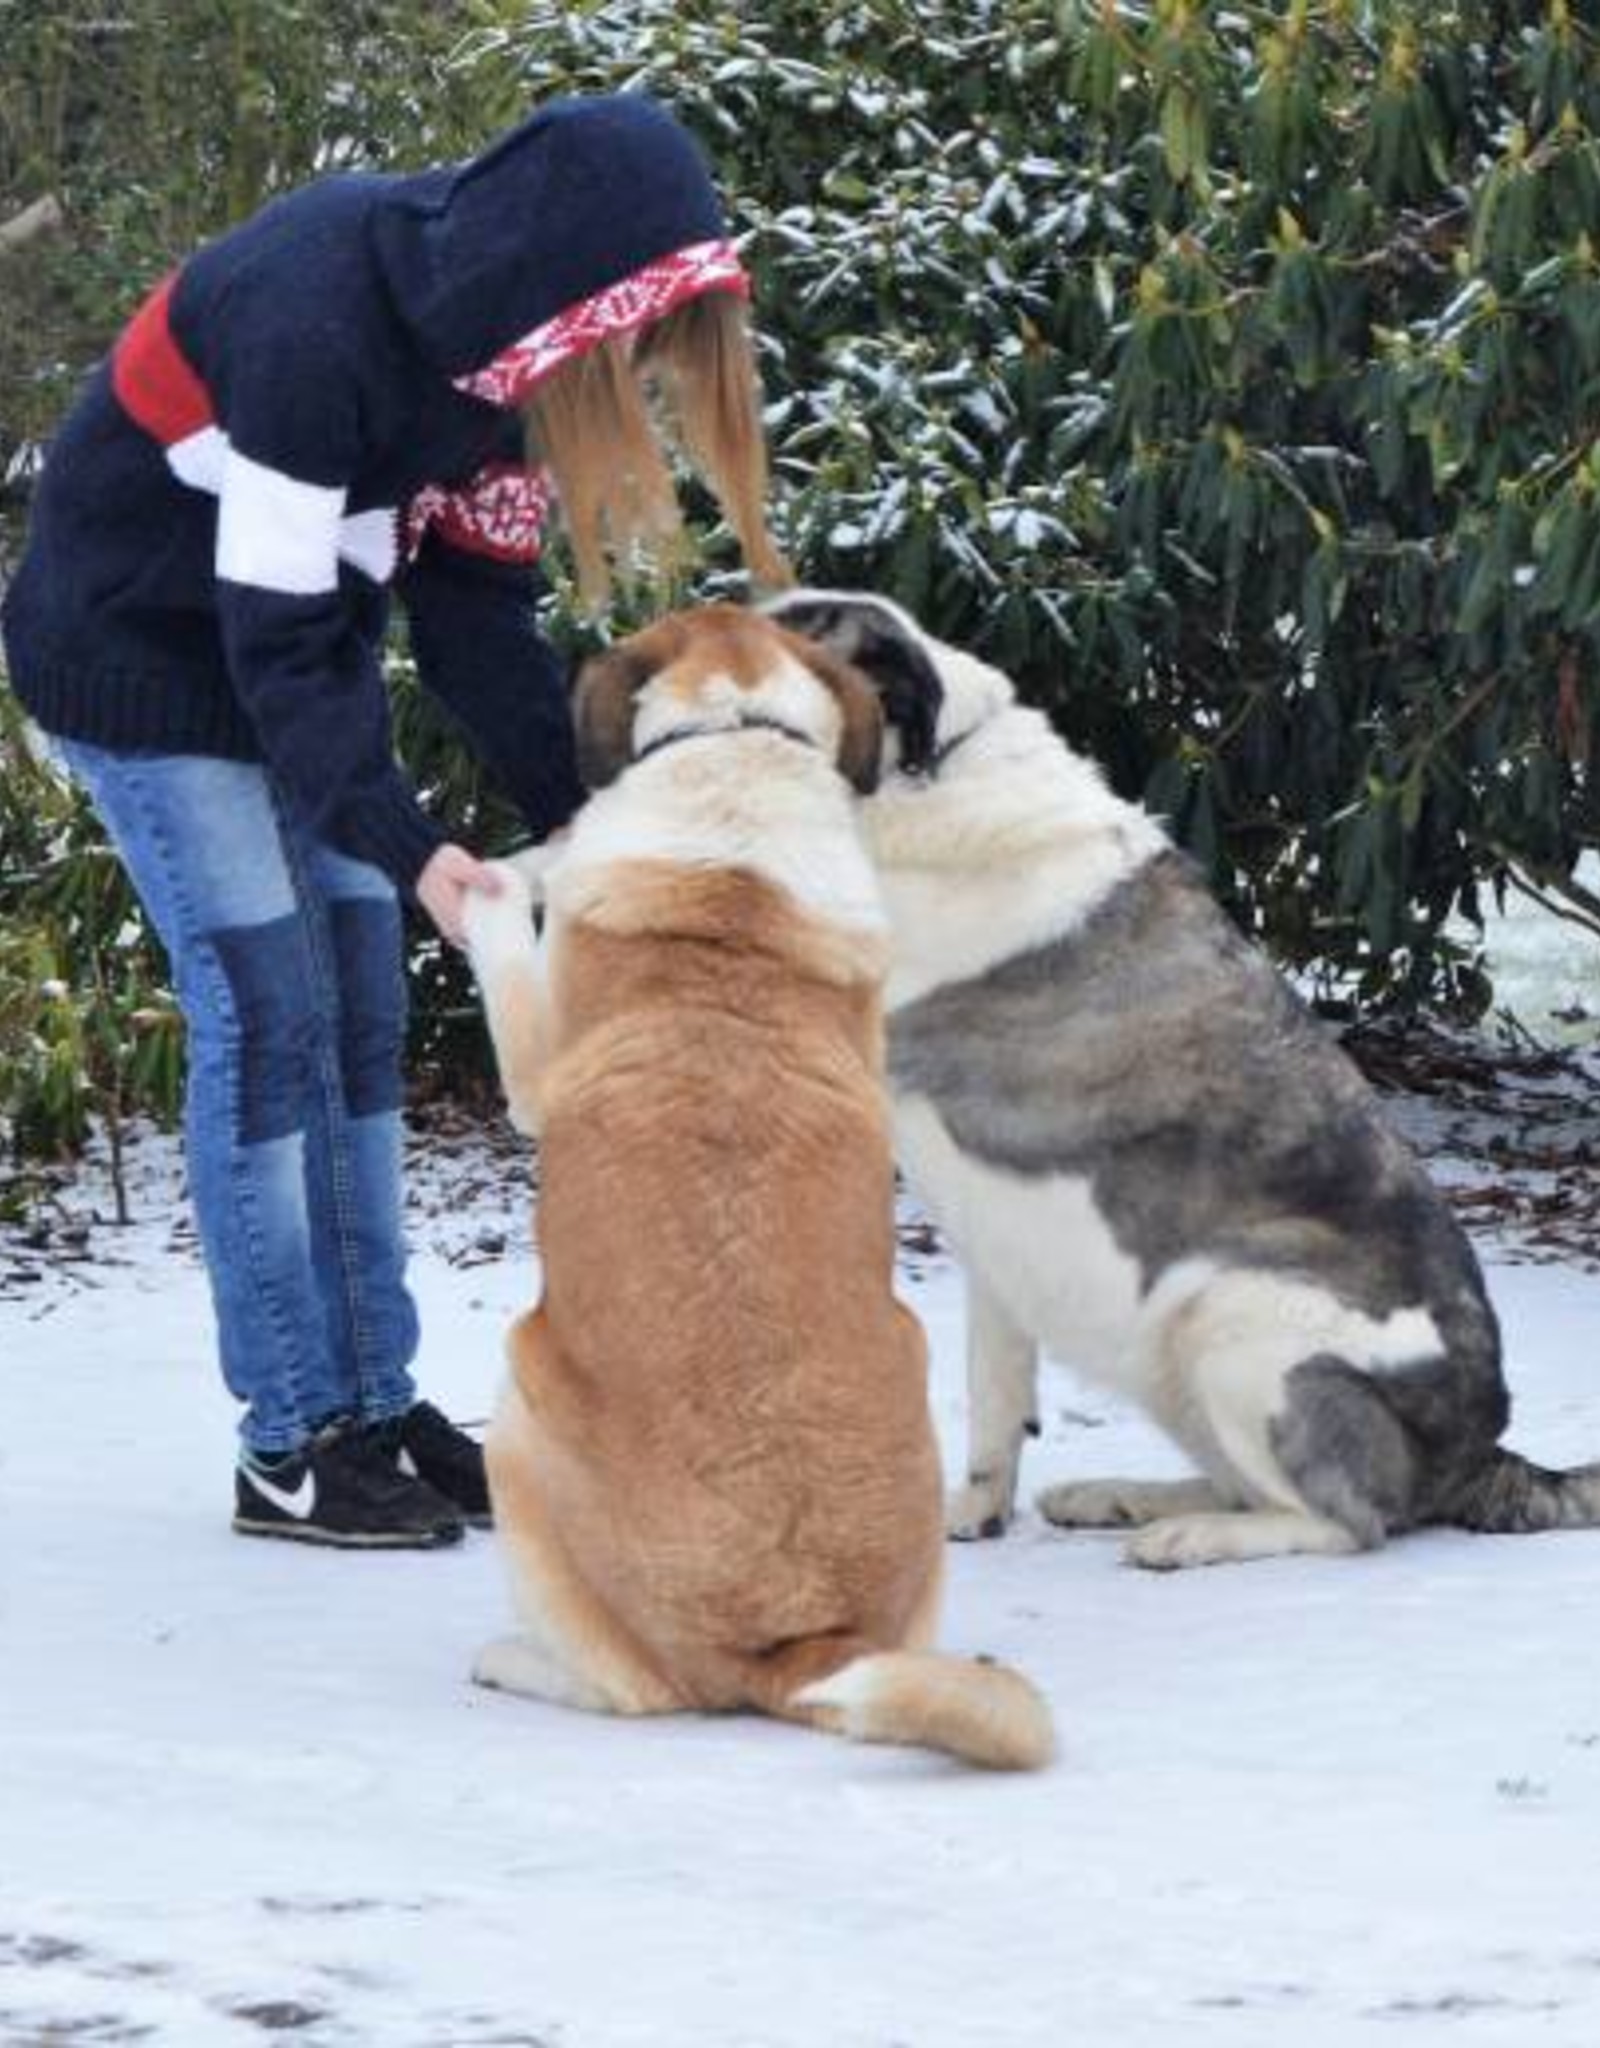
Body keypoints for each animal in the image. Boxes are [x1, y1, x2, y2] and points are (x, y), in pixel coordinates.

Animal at [460, 598, 1057, 1769]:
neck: (738, 749)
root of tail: (796, 1648)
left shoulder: (534, 1070)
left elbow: (507, 939)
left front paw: (509, 875)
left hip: (518, 1406)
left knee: (630, 1691)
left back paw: (511, 1657)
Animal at [766, 593, 1597, 1564]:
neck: (919, 779)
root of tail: (1481, 1451)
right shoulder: (995, 1254)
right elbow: (996, 1395)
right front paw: (971, 1516)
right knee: (1249, 1484)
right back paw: (1123, 1497)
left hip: (1229, 1308)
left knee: (1346, 1524)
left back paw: (1190, 1535)